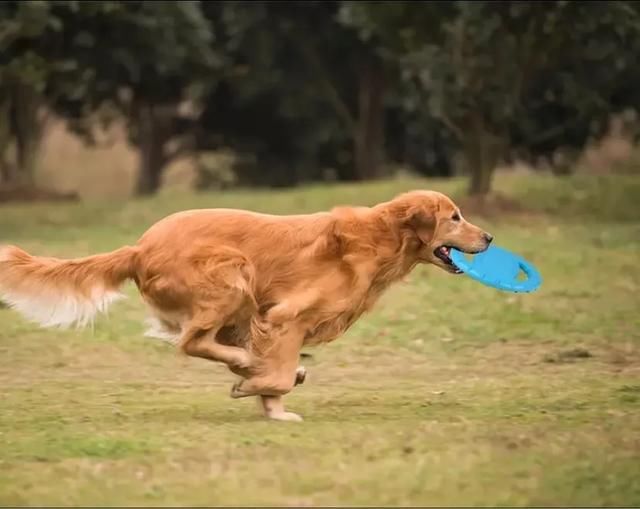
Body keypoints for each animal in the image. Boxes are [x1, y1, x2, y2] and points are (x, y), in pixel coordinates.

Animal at [0, 190, 492, 420]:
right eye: (455, 217)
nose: (488, 237)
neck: (381, 237)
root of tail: (139, 248)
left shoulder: (270, 320)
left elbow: (278, 373)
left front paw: (272, 406)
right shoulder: (286, 316)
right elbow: (277, 371)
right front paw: (262, 388)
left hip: (238, 303)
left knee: (204, 341)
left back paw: (248, 365)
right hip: (232, 275)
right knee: (191, 342)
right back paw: (247, 366)